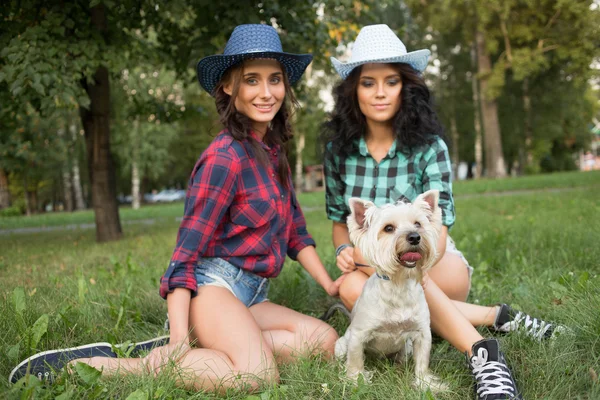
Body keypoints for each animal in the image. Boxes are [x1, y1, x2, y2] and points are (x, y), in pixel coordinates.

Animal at [336, 190, 448, 390]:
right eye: (388, 228)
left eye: (418, 224)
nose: (414, 237)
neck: (399, 285)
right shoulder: (358, 335)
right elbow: (355, 360)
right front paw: (356, 380)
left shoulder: (422, 334)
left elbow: (422, 362)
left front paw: (425, 384)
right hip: (340, 345)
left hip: (407, 348)